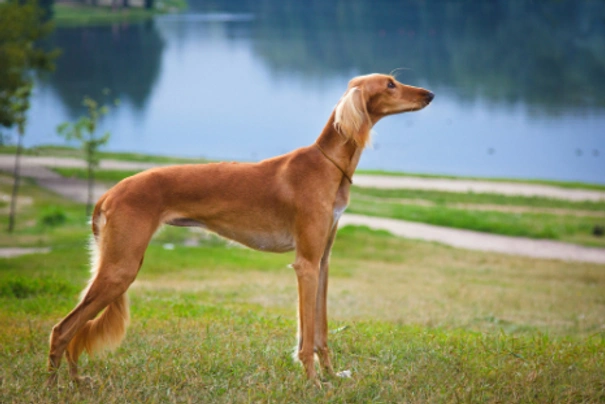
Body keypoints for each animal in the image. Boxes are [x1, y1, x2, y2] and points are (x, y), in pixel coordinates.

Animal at [48, 72, 434, 386]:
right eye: (390, 84)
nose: (430, 94)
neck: (327, 166)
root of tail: (110, 192)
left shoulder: (322, 262)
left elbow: (321, 331)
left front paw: (331, 374)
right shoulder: (305, 265)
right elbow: (307, 335)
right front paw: (313, 382)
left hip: (116, 266)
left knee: (75, 330)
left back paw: (77, 380)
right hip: (121, 268)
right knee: (62, 328)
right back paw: (55, 385)